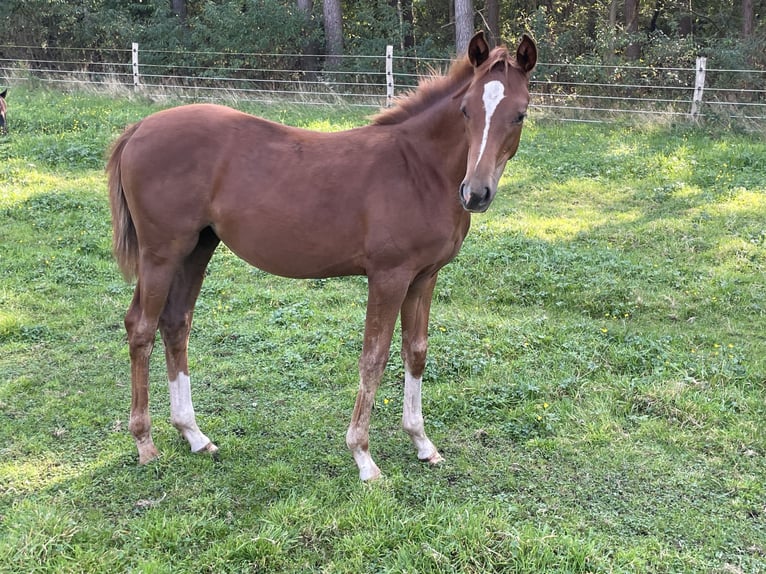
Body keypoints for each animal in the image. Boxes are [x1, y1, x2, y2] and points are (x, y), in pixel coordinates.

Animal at [109, 31, 540, 482]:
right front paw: (363, 457)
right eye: (465, 109)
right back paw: (145, 443)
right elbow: (374, 357)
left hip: (197, 248)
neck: (419, 169)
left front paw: (422, 443)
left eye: (520, 114)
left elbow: (416, 351)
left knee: (176, 323)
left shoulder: (424, 277)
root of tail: (138, 128)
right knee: (141, 327)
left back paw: (194, 435)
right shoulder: (388, 276)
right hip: (161, 253)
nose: (475, 194)